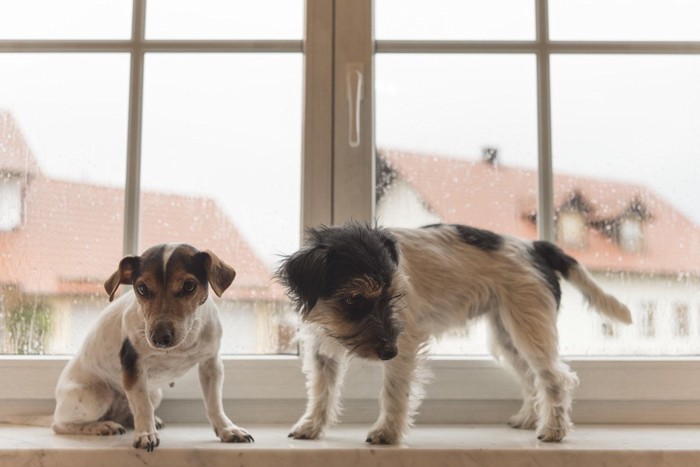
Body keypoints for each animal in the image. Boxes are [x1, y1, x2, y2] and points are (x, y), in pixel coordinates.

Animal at [52, 243, 254, 452]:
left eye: (189, 286)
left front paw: (227, 430)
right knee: (60, 424)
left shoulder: (211, 364)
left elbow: (214, 403)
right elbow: (143, 405)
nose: (159, 338)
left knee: (130, 414)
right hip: (97, 396)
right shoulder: (133, 367)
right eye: (142, 288)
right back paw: (102, 426)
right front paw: (145, 434)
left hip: (155, 393)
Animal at [278, 223, 636, 446]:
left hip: (528, 329)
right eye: (353, 299)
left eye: (393, 296)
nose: (388, 352)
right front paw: (311, 426)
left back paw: (553, 430)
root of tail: (535, 246)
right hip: (507, 338)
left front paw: (387, 433)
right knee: (533, 379)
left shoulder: (405, 343)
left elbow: (394, 393)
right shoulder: (321, 351)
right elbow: (321, 392)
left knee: (556, 378)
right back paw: (528, 419)